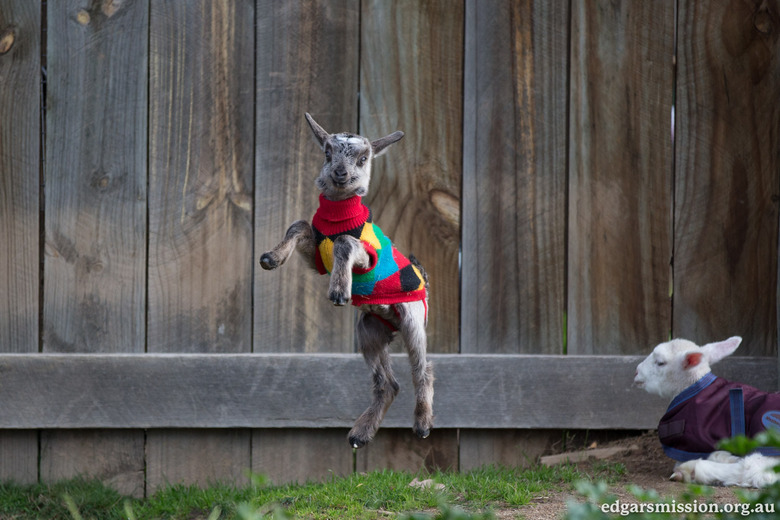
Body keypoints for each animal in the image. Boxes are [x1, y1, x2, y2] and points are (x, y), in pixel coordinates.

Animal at [260, 116, 432, 448]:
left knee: (422, 370)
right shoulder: (316, 258)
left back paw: (422, 424)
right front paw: (272, 258)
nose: (341, 174)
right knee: (387, 384)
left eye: (363, 159)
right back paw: (360, 434)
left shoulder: (366, 256)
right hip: (369, 330)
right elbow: (298, 225)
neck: (338, 216)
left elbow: (343, 242)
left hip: (414, 318)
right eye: (327, 153)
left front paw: (339, 290)